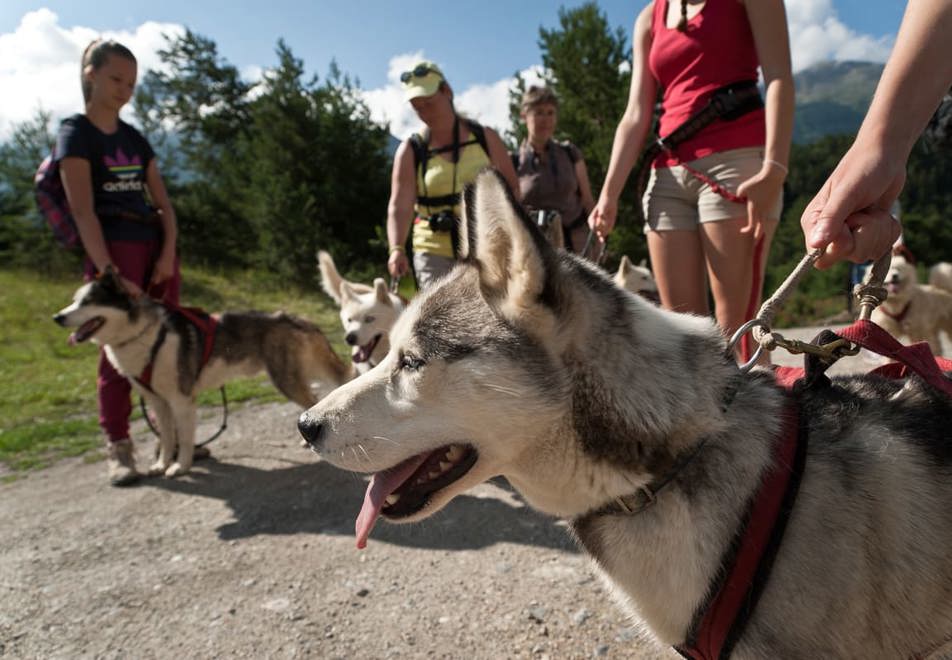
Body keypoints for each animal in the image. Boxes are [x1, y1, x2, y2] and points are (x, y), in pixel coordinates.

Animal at [53, 270, 350, 480]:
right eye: (73, 300)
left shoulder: (181, 399)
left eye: (88, 302)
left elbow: (184, 437)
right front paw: (161, 464)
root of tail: (297, 318)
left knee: (311, 400)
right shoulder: (158, 402)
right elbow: (166, 436)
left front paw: (180, 466)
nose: (58, 317)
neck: (143, 336)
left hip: (284, 379)